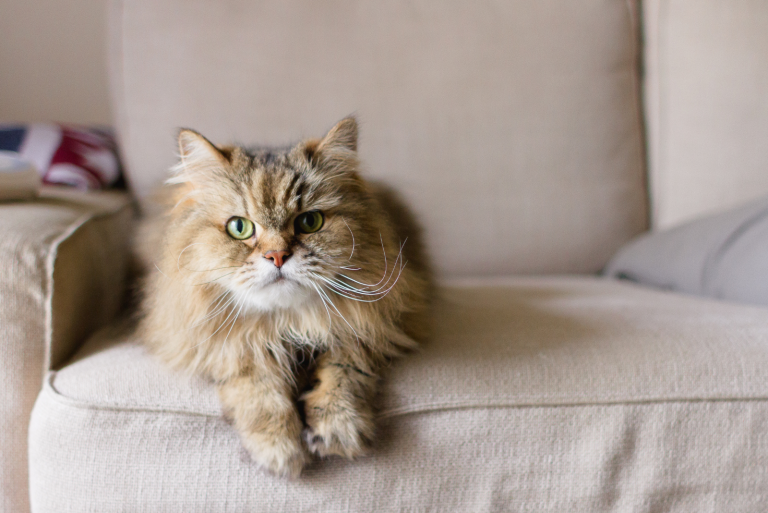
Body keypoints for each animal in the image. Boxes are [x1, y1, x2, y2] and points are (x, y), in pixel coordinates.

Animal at [137, 116, 432, 476]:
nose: (277, 256)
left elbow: (345, 371)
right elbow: (258, 387)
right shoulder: (224, 346)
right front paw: (278, 449)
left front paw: (338, 429)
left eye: (310, 221)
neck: (287, 324)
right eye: (239, 227)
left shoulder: (373, 328)